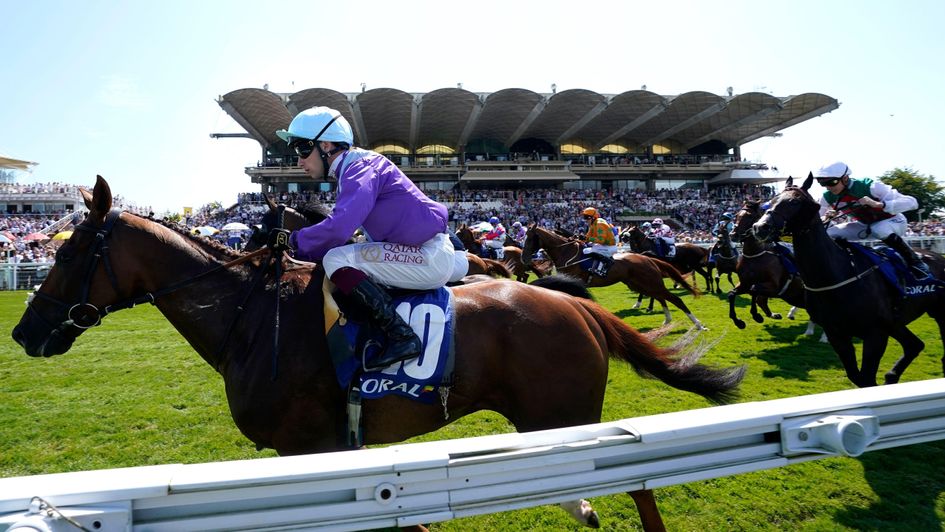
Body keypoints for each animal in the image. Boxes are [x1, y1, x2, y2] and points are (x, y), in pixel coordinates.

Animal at [520, 223, 704, 330]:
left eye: (530, 238)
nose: (524, 258)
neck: (567, 252)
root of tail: (646, 258)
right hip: (642, 284)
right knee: (660, 298)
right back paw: (666, 320)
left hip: (650, 282)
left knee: (674, 299)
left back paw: (698, 325)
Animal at [752, 175, 944, 386]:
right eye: (773, 198)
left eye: (794, 201)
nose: (760, 227)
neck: (837, 275)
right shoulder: (838, 334)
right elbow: (857, 377)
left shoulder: (875, 334)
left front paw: (872, 202)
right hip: (895, 324)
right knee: (914, 345)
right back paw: (891, 376)